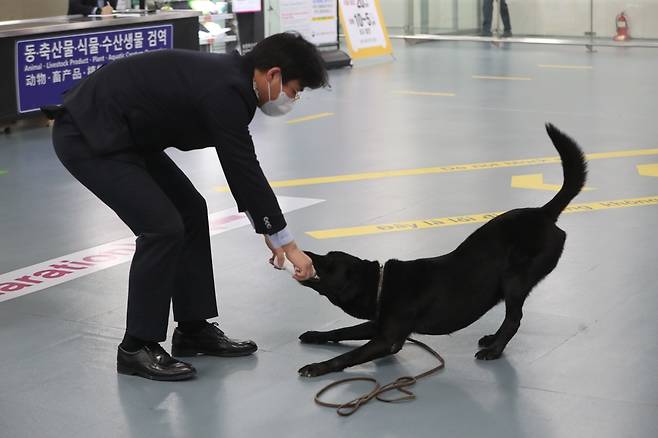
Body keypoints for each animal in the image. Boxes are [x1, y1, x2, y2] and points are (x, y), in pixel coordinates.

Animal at [294, 123, 588, 376]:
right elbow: (343, 330)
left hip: (515, 279)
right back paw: (492, 339)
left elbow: (347, 356)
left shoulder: (389, 339)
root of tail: (544, 213)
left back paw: (494, 349)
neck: (379, 284)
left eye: (329, 264)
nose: (305, 253)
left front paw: (317, 367)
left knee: (514, 318)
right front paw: (316, 336)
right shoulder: (377, 324)